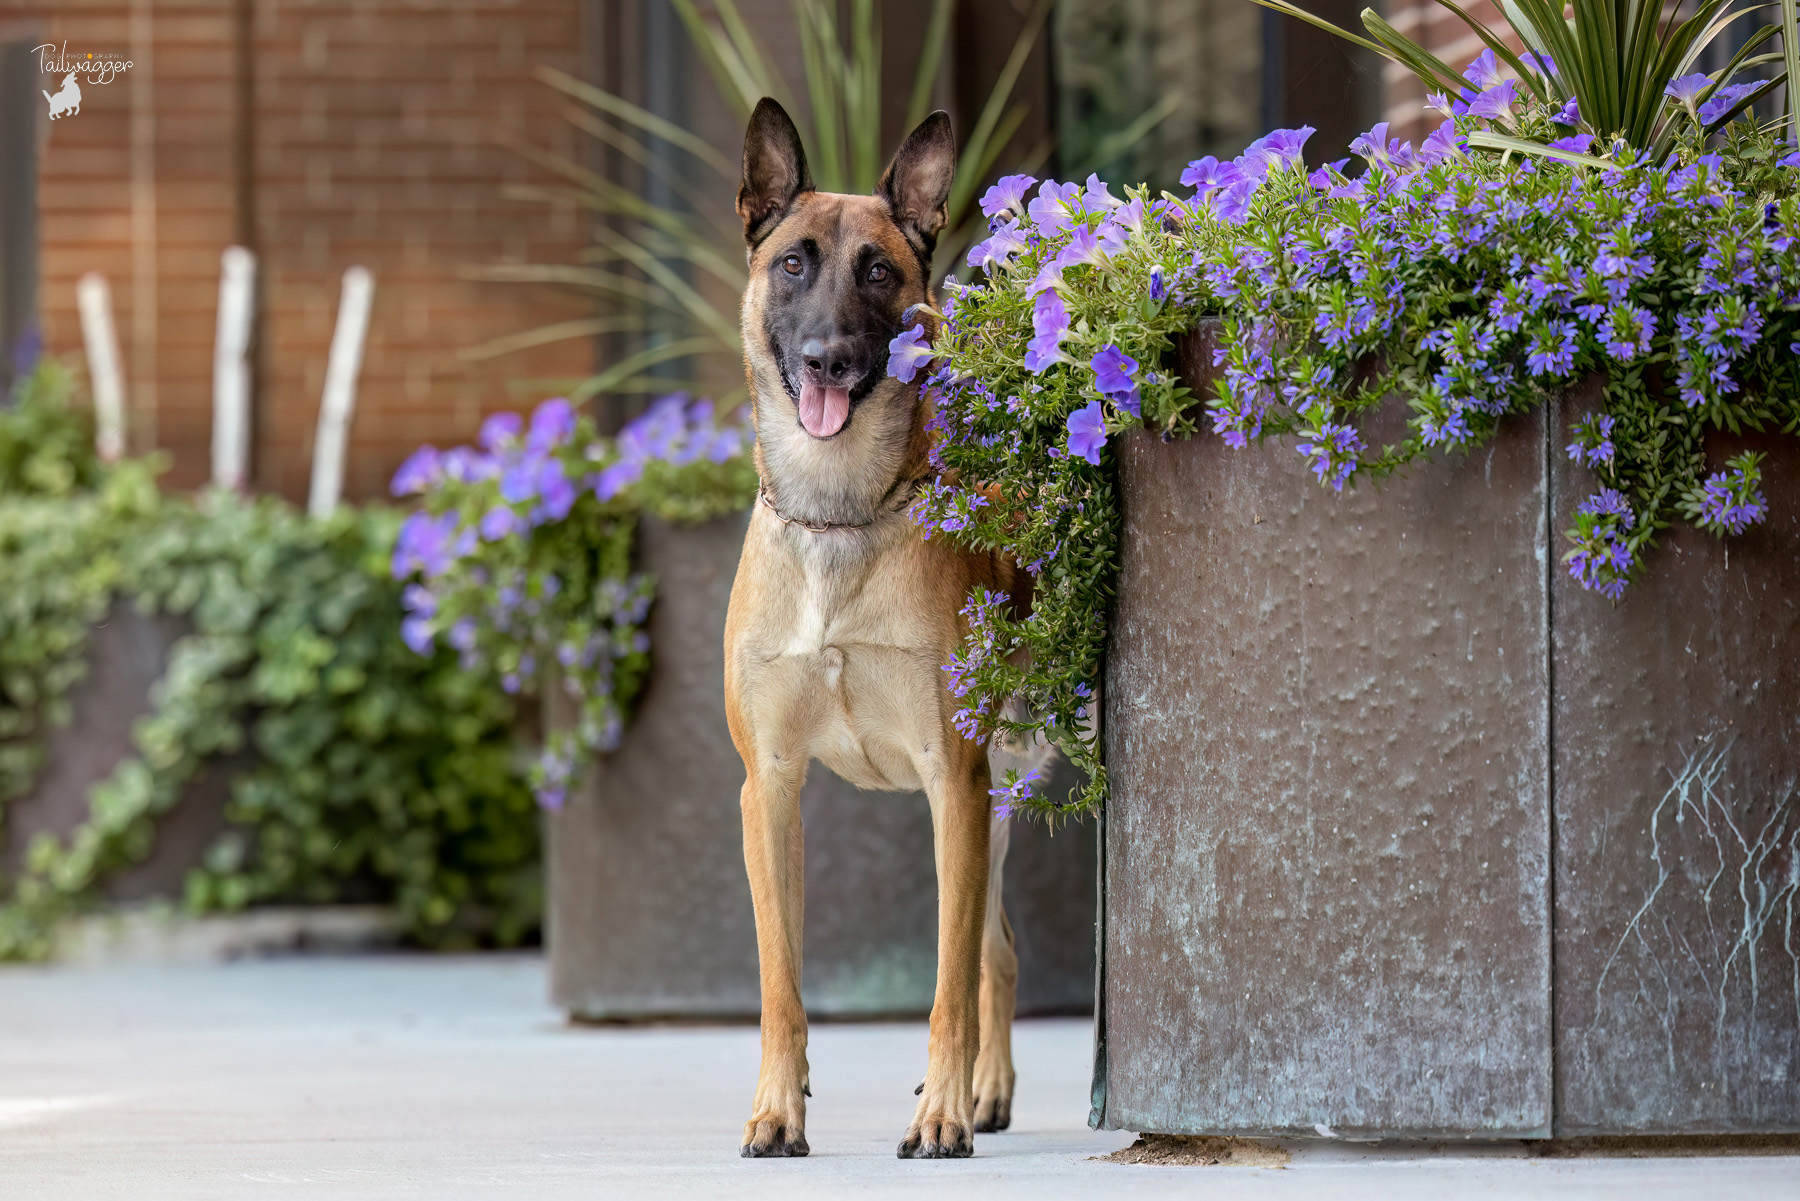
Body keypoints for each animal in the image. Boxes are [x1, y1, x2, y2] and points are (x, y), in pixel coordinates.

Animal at [720, 98, 1036, 1159]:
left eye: (878, 271)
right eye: (793, 264)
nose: (827, 358)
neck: (841, 514)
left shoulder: (952, 779)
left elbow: (943, 989)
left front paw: (938, 1114)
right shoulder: (770, 788)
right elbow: (780, 982)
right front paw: (777, 1108)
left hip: (991, 797)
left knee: (977, 959)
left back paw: (967, 1095)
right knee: (999, 947)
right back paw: (985, 1091)